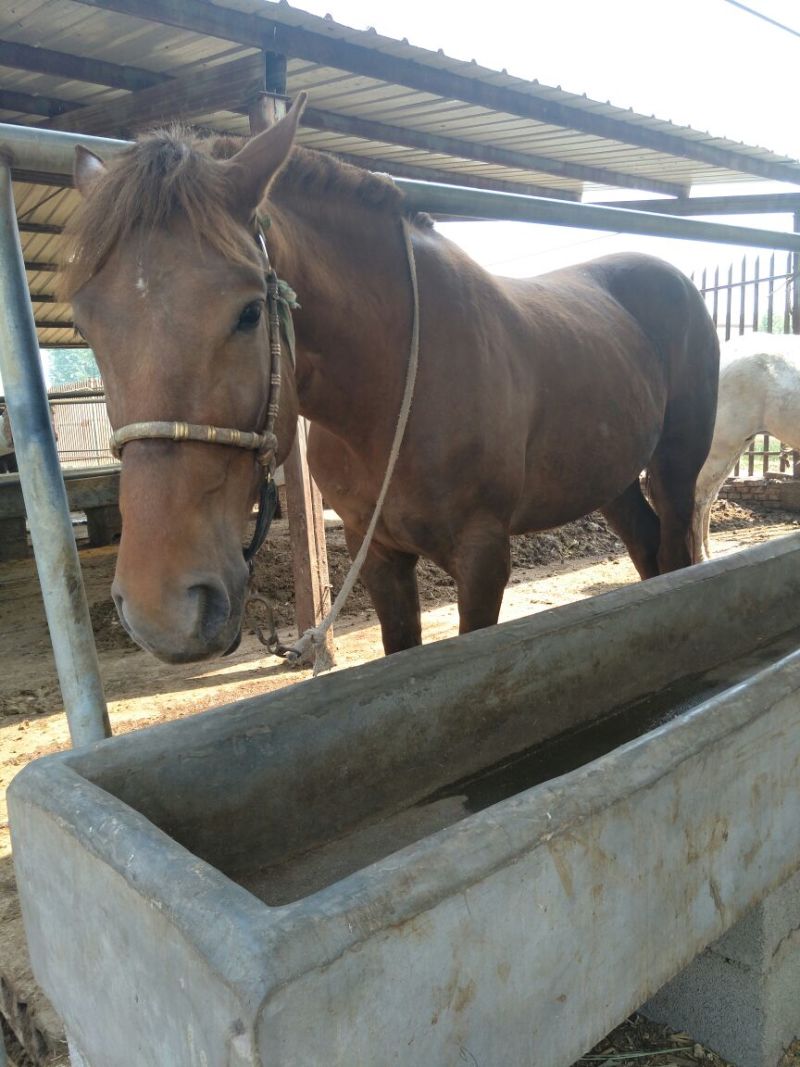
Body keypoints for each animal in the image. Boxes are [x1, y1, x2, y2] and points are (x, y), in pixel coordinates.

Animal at [61, 95, 719, 664]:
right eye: (87, 326)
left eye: (248, 312)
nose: (163, 610)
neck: (395, 389)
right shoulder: (374, 551)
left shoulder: (483, 556)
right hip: (612, 479)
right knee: (647, 549)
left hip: (675, 467)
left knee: (675, 550)